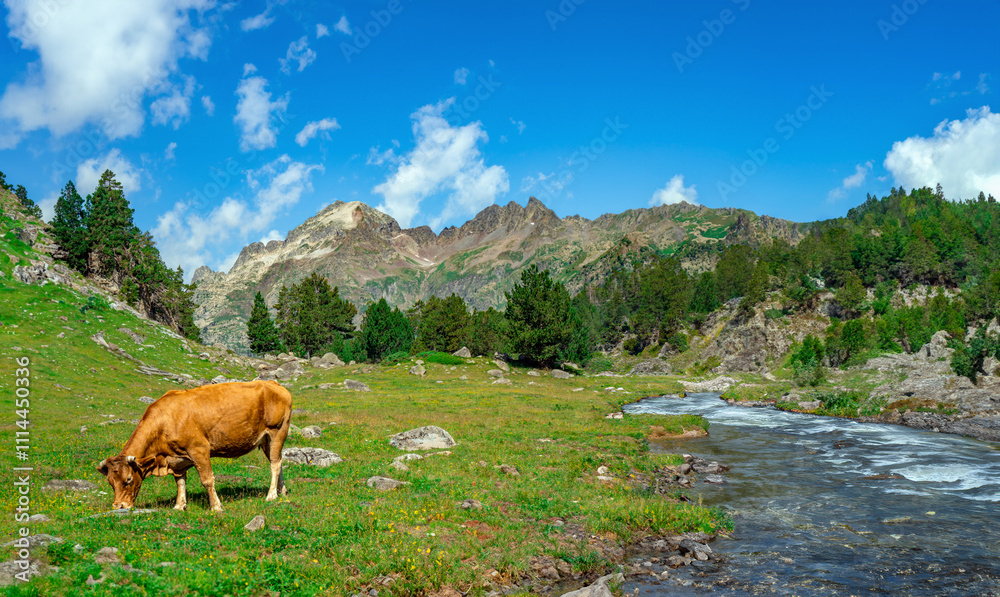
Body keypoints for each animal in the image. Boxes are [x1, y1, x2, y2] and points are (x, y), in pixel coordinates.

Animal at [97, 380, 292, 512]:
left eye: (129, 479)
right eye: (110, 482)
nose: (118, 506)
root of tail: (273, 383)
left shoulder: (199, 449)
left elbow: (207, 480)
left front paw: (216, 506)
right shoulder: (176, 458)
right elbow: (180, 482)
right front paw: (179, 505)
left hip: (277, 431)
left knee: (275, 464)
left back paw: (271, 495)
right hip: (266, 441)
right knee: (279, 461)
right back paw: (282, 491)